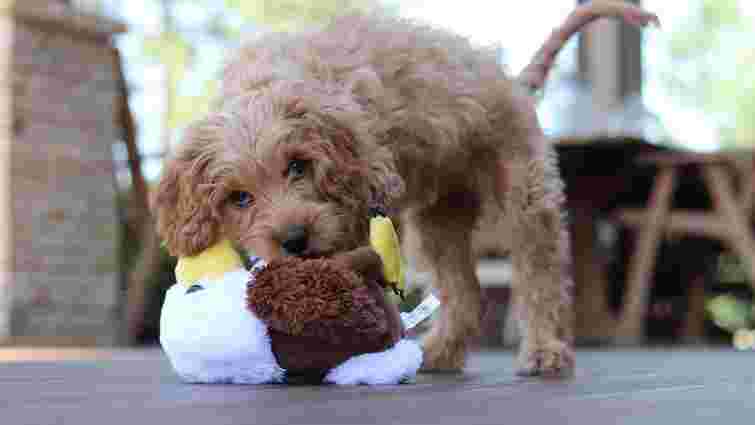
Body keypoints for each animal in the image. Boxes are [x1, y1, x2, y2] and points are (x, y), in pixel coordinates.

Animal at [155, 1, 660, 376]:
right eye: (239, 198)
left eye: (298, 166)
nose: (295, 241)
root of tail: (511, 83)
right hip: (438, 226)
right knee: (466, 294)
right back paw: (440, 354)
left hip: (524, 199)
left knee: (543, 279)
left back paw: (545, 351)